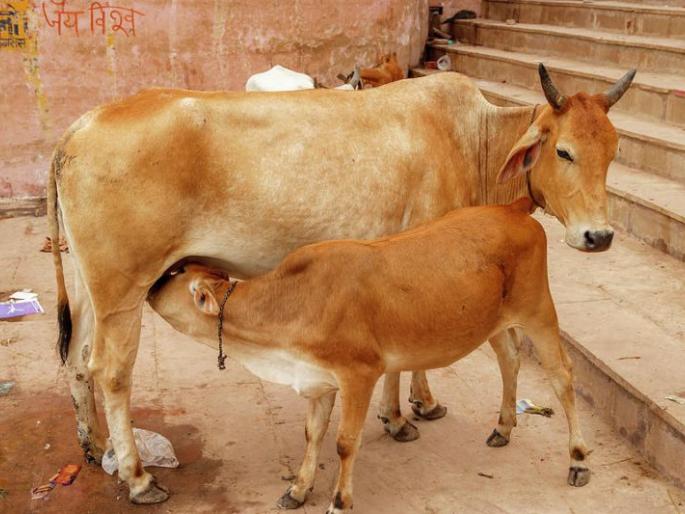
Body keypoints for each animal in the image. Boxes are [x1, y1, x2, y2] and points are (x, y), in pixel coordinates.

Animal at [146, 198, 590, 513]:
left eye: (174, 274)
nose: (149, 285)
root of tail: (512, 208)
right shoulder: (319, 379)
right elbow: (312, 434)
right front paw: (298, 489)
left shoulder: (359, 374)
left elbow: (345, 442)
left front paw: (339, 501)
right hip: (495, 323)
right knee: (510, 359)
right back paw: (502, 428)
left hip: (539, 311)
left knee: (563, 377)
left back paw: (578, 461)